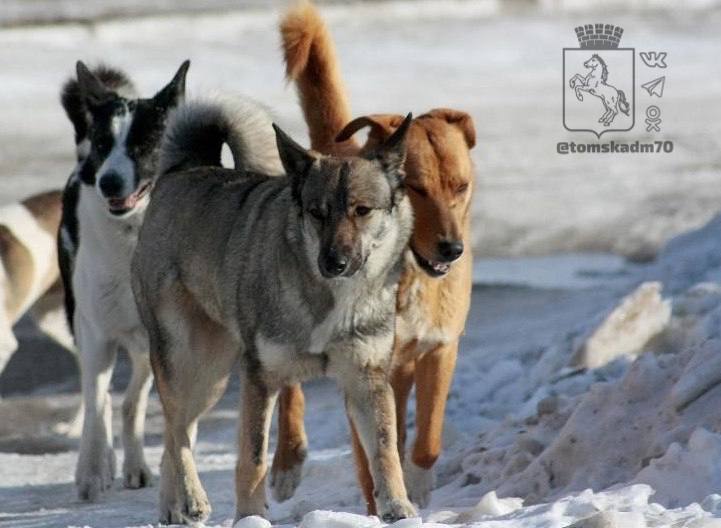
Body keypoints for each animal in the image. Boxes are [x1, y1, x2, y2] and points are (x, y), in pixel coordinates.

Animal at [58, 59, 190, 502]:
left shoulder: (165, 341)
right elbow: (97, 404)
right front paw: (91, 471)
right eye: (103, 143)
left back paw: (135, 465)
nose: (108, 181)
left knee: (134, 401)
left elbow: (138, 407)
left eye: (145, 143)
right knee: (102, 400)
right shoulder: (95, 334)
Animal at [131, 98, 416, 524]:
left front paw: (399, 509)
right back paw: (193, 499)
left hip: (212, 379)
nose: (334, 262)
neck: (327, 300)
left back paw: (173, 508)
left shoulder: (367, 378)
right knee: (177, 428)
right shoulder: (260, 378)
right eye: (317, 212)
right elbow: (253, 459)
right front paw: (250, 518)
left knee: (173, 431)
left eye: (362, 210)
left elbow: (384, 450)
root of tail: (183, 170)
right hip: (185, 362)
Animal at [272, 0, 476, 512]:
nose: (452, 249)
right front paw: (379, 505)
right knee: (288, 387)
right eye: (417, 188)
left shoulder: (439, 348)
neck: (406, 275)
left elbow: (426, 437)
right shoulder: (364, 368)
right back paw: (286, 461)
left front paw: (417, 485)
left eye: (460, 186)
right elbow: (371, 458)